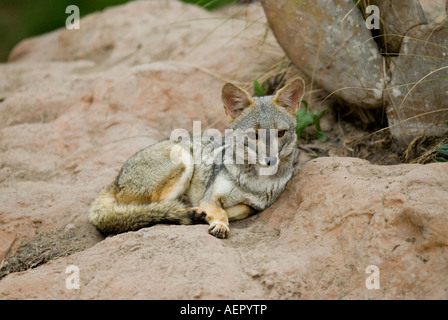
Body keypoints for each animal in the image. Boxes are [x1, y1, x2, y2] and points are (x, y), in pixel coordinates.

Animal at [87, 77, 304, 238]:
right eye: (254, 135)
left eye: (280, 133)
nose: (271, 161)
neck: (254, 183)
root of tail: (115, 181)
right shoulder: (209, 197)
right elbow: (219, 210)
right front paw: (219, 224)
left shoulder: (252, 206)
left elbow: (238, 209)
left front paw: (207, 216)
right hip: (184, 160)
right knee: (156, 206)